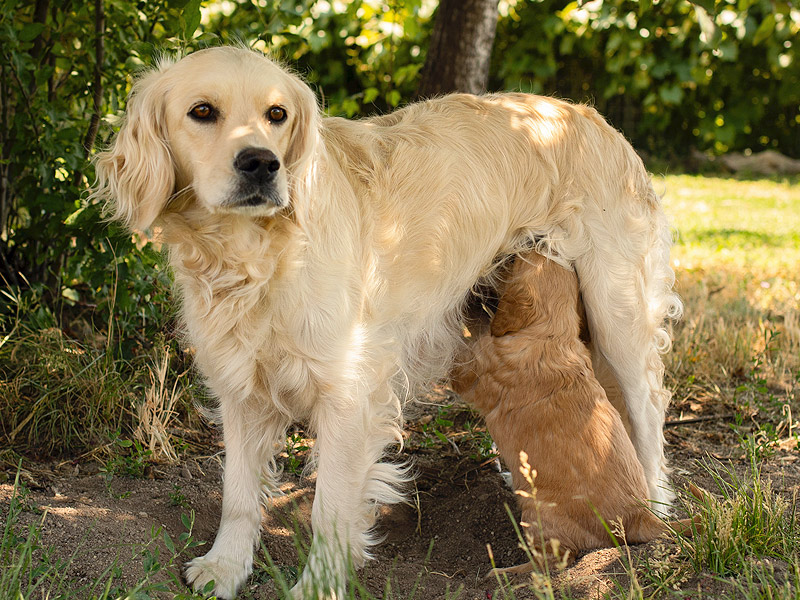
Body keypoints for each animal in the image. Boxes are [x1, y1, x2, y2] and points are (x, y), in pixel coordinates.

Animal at [454, 252, 692, 572]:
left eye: (514, 260)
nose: (499, 256)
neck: (552, 333)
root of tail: (638, 516)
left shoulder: (475, 370)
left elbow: (464, 350)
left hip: (539, 512)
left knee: (558, 558)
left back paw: (504, 573)